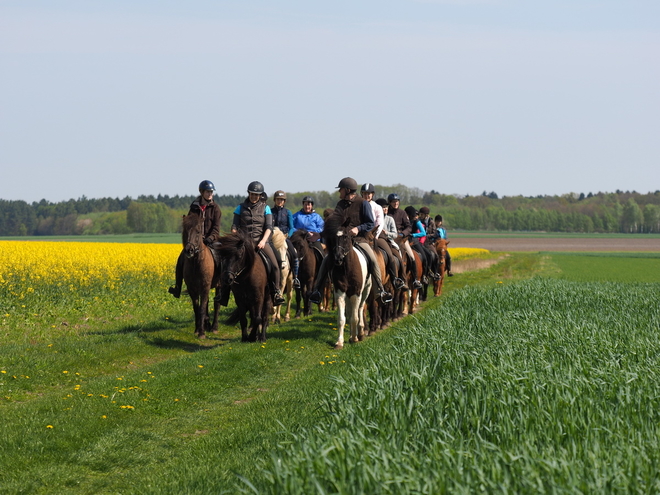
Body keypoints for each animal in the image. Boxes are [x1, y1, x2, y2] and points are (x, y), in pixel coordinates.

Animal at [182, 211, 220, 340]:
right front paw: (197, 329)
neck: (196, 263)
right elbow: (196, 308)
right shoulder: (192, 289)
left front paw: (202, 333)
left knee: (217, 304)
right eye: (185, 230)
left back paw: (214, 327)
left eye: (198, 231)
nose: (189, 250)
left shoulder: (205, 287)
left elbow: (202, 308)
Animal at [324, 215, 374, 350]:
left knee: (360, 308)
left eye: (345, 236)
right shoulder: (340, 292)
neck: (346, 268)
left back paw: (360, 333)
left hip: (365, 290)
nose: (338, 258)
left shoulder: (356, 293)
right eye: (332, 238)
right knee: (351, 310)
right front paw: (339, 342)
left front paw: (355, 338)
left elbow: (354, 318)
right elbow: (342, 319)